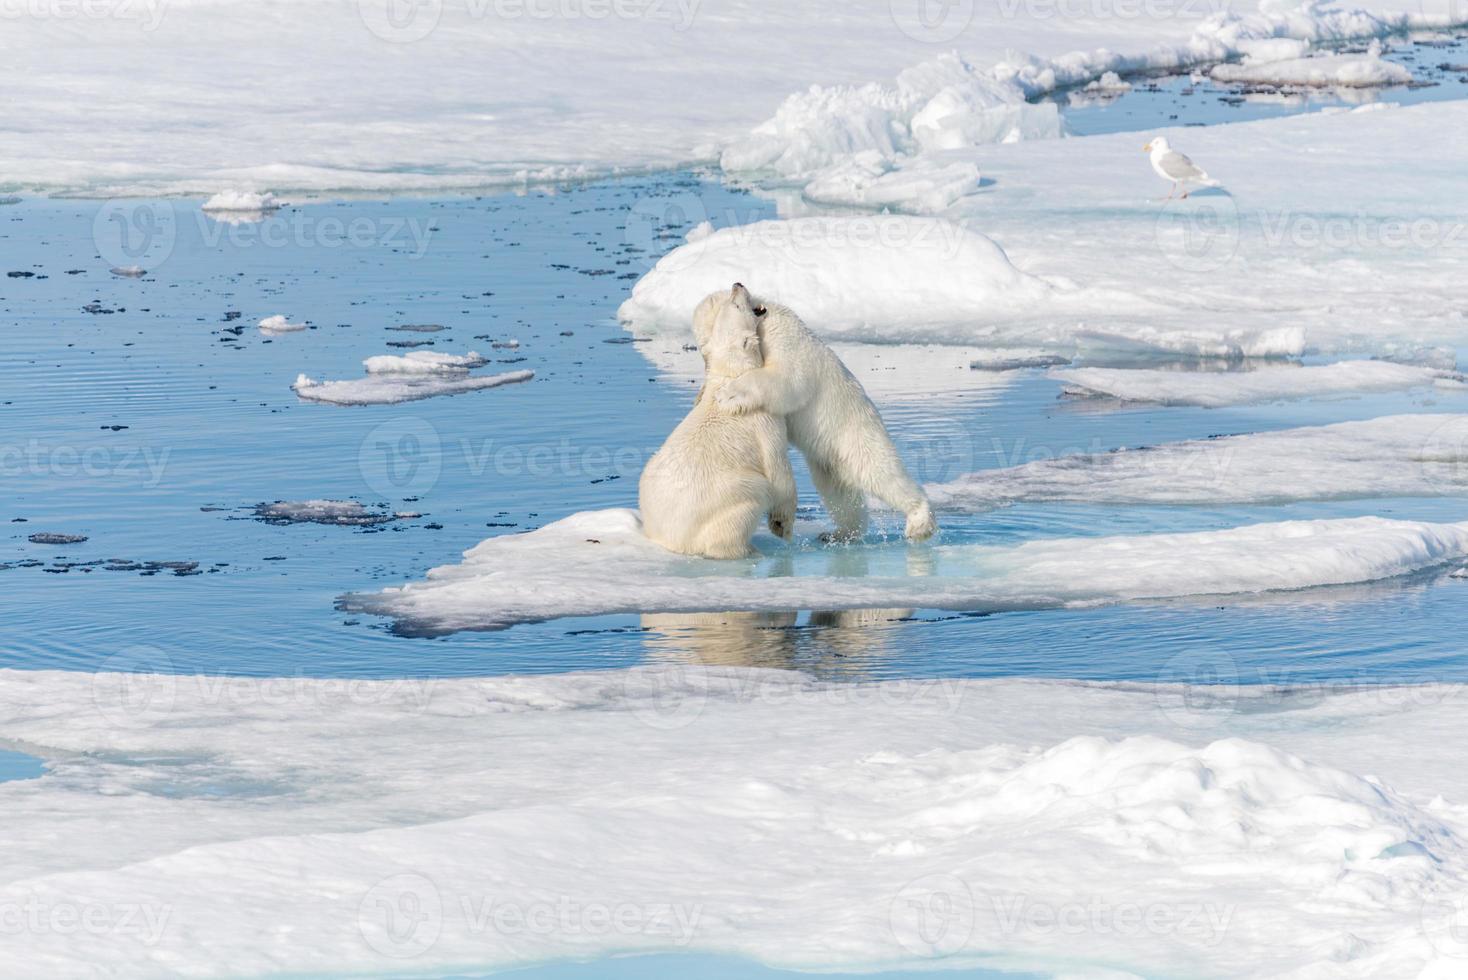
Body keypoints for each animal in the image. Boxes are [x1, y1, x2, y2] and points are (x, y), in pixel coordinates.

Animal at [637, 283, 798, 557]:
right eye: (736, 305)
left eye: (728, 304)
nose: (737, 285)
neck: (732, 375)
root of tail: (670, 539)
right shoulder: (762, 419)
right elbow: (778, 469)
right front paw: (783, 525)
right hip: (732, 496)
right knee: (751, 497)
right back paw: (749, 549)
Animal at [695, 283, 933, 542]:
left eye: (733, 300)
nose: (737, 284)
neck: (764, 317)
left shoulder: (785, 337)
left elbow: (786, 378)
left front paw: (728, 394)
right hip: (829, 459)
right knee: (839, 493)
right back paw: (839, 534)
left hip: (856, 436)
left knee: (881, 474)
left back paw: (920, 523)